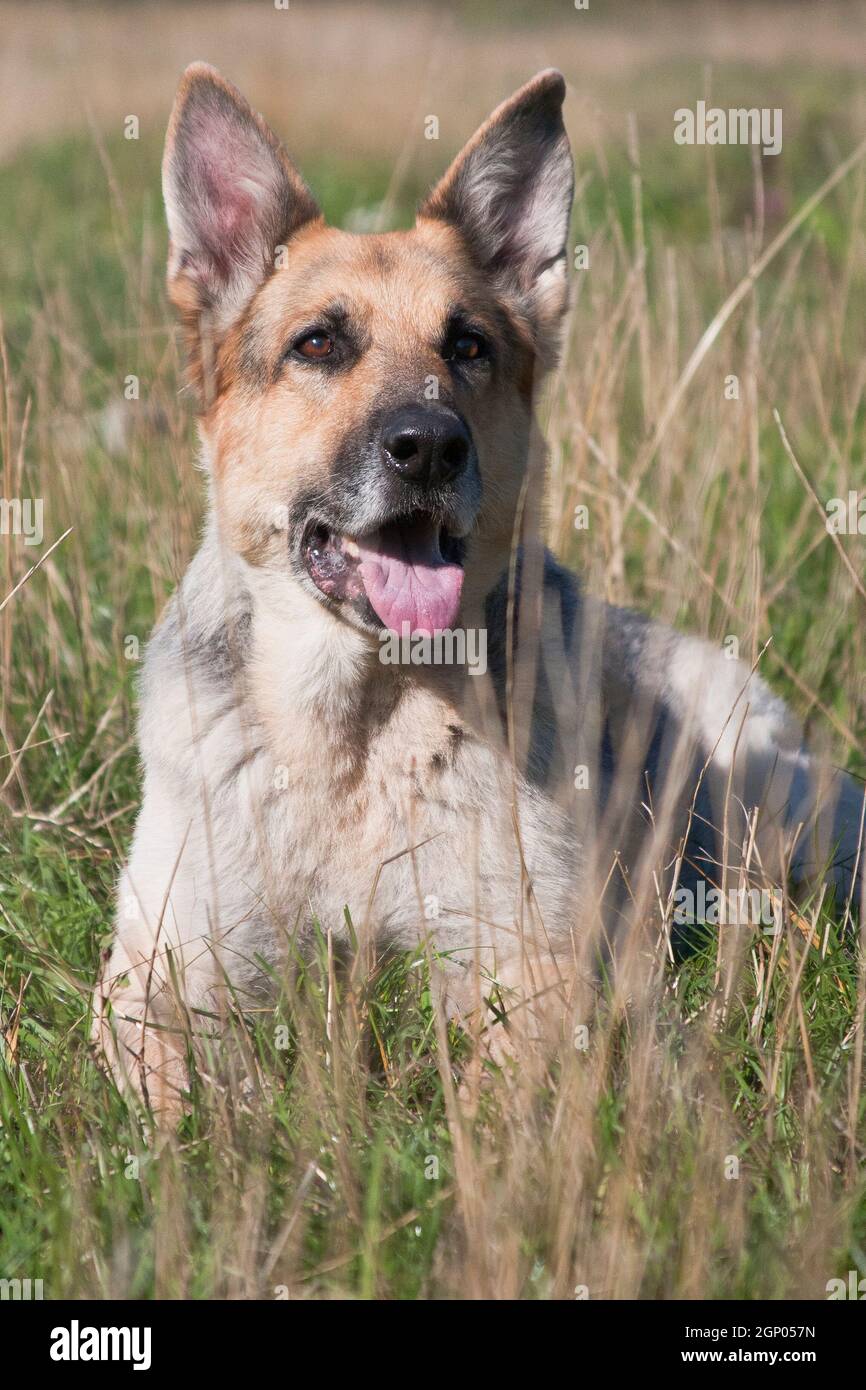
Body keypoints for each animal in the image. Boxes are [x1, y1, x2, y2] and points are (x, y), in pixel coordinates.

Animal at [91, 62, 861, 1117]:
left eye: (468, 347)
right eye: (318, 345)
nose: (428, 448)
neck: (358, 733)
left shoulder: (531, 963)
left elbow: (499, 1093)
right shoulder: (158, 964)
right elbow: (177, 1095)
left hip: (771, 822)